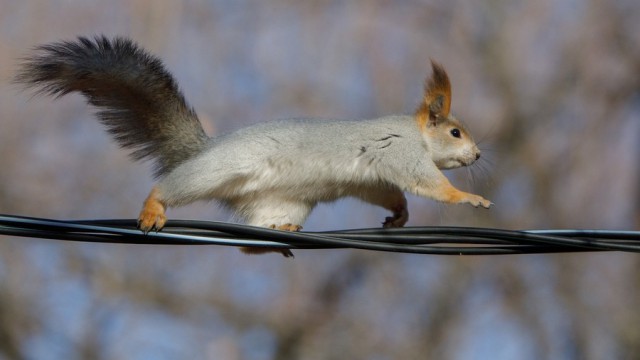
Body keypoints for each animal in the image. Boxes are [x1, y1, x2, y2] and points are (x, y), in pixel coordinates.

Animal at [17, 35, 492, 256]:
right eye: (455, 133)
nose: (478, 155)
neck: (416, 133)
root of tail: (205, 148)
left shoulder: (374, 174)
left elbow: (384, 191)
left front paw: (399, 215)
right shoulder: (399, 152)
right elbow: (428, 183)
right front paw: (469, 197)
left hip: (280, 202)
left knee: (247, 242)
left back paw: (277, 236)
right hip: (218, 169)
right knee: (172, 185)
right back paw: (154, 208)